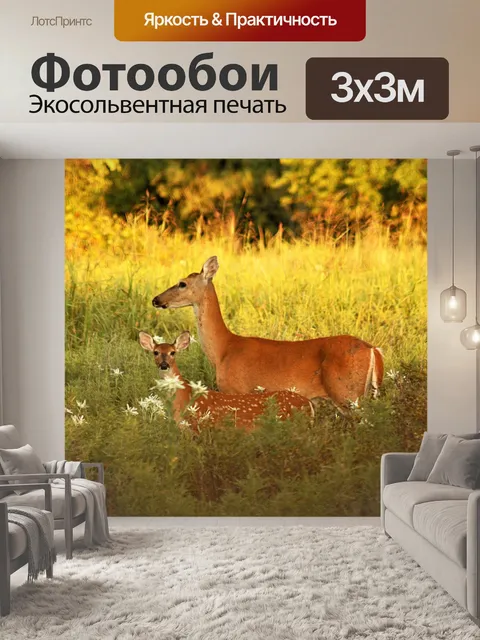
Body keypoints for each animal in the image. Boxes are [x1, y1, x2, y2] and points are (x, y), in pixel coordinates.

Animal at [152, 256, 384, 407]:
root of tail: (373, 350)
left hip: (347, 393)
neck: (223, 350)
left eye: (182, 283)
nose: (156, 299)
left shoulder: (235, 390)